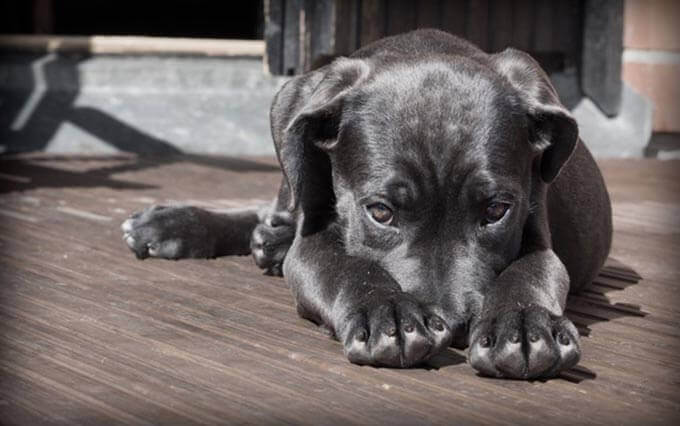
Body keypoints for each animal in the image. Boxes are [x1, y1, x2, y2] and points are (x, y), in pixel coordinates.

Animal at [121, 31, 612, 382]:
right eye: (380, 212)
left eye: (496, 211)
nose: (453, 325)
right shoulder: (314, 240)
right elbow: (346, 266)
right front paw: (387, 312)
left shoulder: (538, 232)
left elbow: (531, 272)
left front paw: (524, 325)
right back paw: (177, 225)